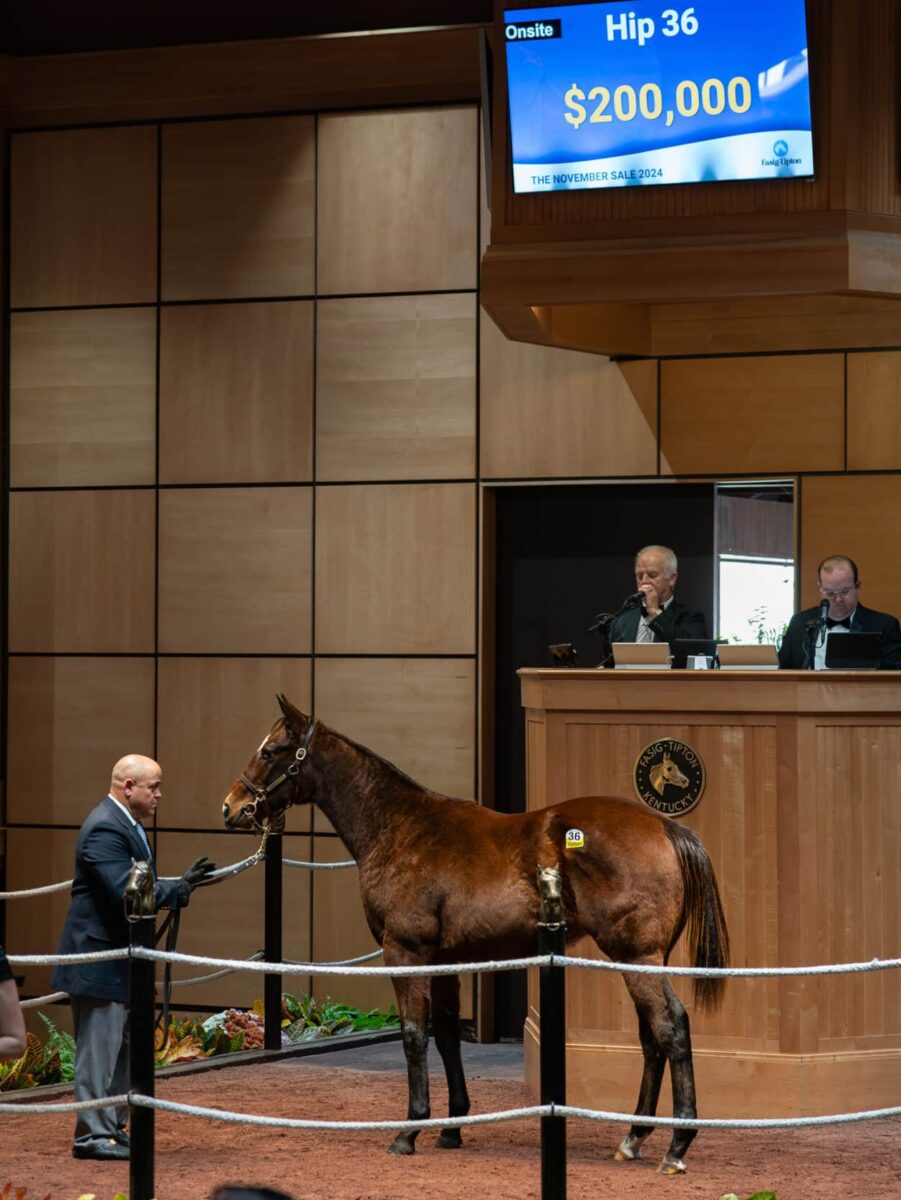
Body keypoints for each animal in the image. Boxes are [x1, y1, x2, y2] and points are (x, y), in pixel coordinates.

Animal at [221, 696, 729, 1171]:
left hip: (636, 956)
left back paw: (677, 1145)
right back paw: (634, 1137)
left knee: (671, 1027)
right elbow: (447, 1035)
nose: (231, 807)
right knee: (651, 1037)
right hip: (639, 959)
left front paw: (409, 1131)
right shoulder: (446, 960)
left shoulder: (404, 952)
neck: (400, 829)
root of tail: (666, 826)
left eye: (271, 751)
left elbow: (413, 1036)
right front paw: (452, 1127)